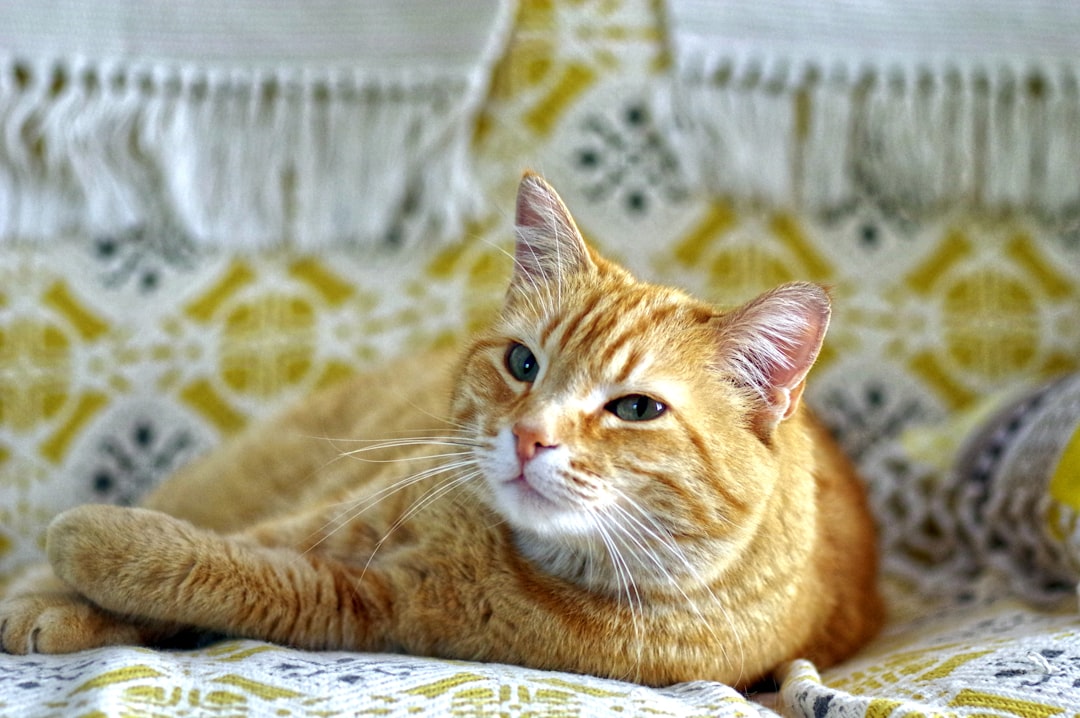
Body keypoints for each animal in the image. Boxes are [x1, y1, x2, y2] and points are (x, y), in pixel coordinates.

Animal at [0, 173, 881, 691]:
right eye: (523, 363)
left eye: (635, 409)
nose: (529, 437)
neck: (510, 557)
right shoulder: (341, 516)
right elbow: (218, 544)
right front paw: (52, 593)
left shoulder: (369, 607)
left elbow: (206, 568)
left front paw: (88, 552)